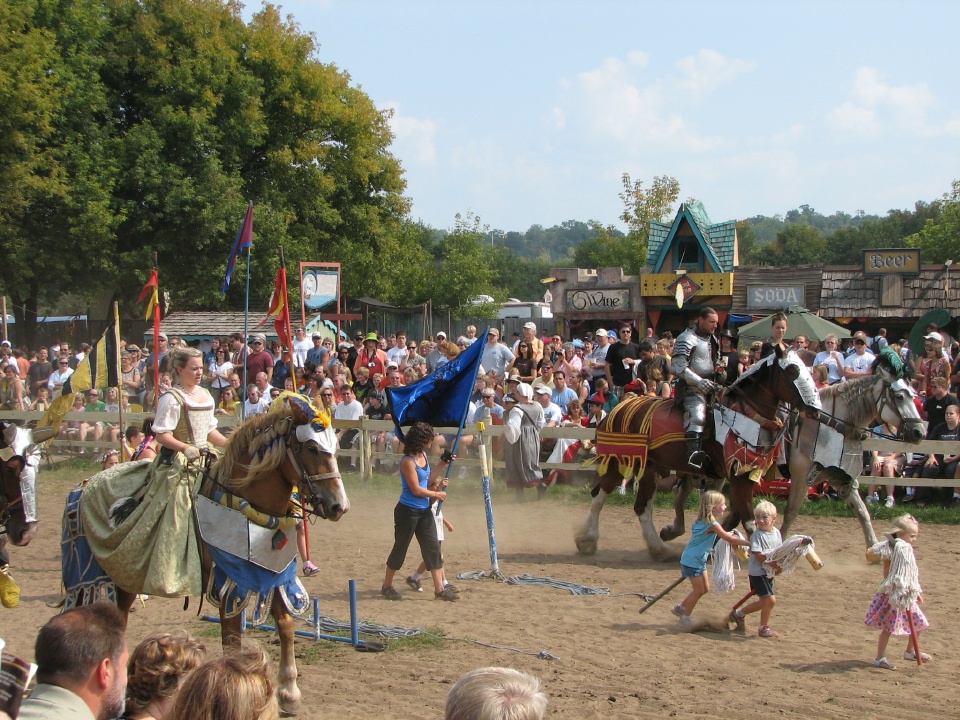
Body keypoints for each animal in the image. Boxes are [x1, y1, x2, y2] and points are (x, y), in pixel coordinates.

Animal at [63, 396, 348, 712]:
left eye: (335, 448)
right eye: (311, 448)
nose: (338, 506)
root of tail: (84, 485)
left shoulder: (274, 576)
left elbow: (285, 626)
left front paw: (289, 691)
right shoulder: (228, 584)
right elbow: (232, 640)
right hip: (114, 579)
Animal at [572, 346, 820, 560]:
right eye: (792, 370)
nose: (815, 410)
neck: (746, 415)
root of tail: (618, 408)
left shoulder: (740, 476)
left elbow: (735, 517)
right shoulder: (738, 477)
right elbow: (749, 521)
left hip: (648, 468)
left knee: (642, 508)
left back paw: (659, 549)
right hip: (619, 462)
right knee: (600, 498)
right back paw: (588, 540)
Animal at [784, 356, 928, 552]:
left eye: (914, 396)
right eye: (899, 396)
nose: (919, 432)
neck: (832, 425)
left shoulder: (839, 477)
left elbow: (862, 512)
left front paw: (873, 547)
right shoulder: (801, 477)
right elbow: (791, 512)